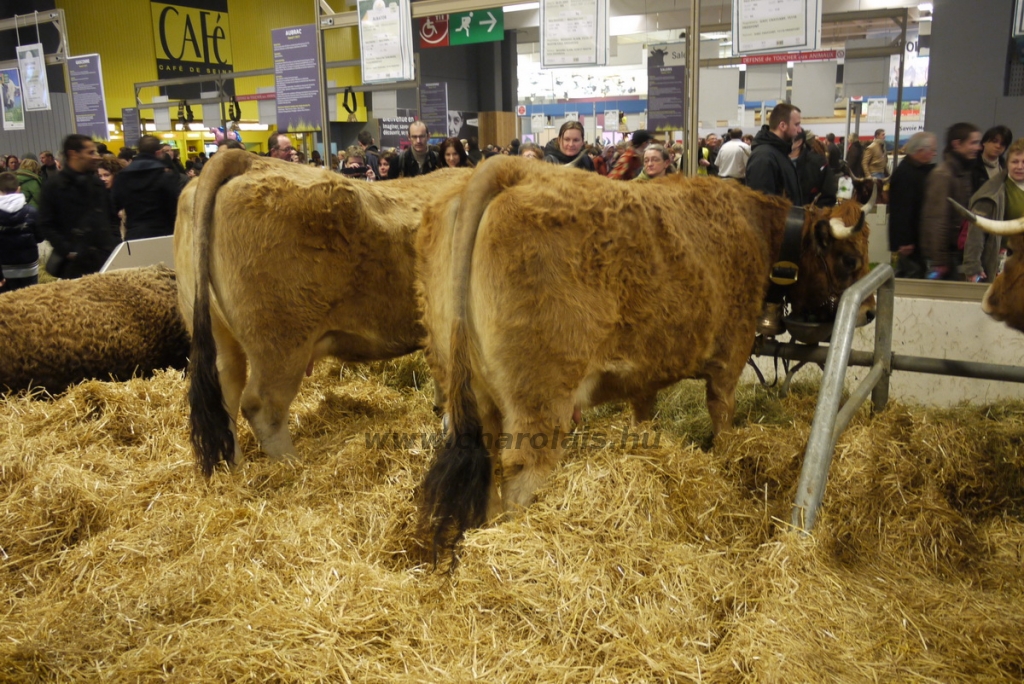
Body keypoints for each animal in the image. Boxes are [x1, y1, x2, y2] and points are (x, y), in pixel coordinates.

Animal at [176, 149, 471, 475]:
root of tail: (246, 158)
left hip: (221, 337)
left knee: (225, 392)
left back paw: (235, 467)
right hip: (282, 341)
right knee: (263, 405)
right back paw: (292, 466)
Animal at [413, 156, 872, 557]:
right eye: (849, 259)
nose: (867, 311)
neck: (759, 229)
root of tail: (510, 167)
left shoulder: (644, 371)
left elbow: (644, 415)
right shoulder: (731, 355)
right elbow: (722, 416)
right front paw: (724, 458)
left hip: (474, 395)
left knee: (490, 472)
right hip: (539, 402)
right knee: (522, 479)